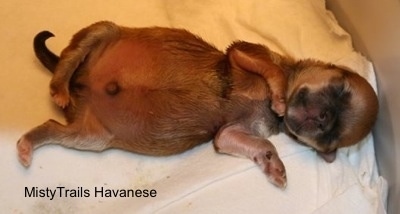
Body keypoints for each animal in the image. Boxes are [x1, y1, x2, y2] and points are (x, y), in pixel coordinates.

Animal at [16, 20, 378, 188]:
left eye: (330, 137)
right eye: (339, 88)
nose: (323, 117)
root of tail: (81, 86)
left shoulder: (231, 133)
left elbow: (261, 144)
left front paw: (274, 166)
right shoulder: (246, 51)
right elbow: (272, 69)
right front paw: (278, 94)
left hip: (90, 138)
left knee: (50, 126)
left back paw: (26, 145)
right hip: (101, 32)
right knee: (67, 59)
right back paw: (59, 87)